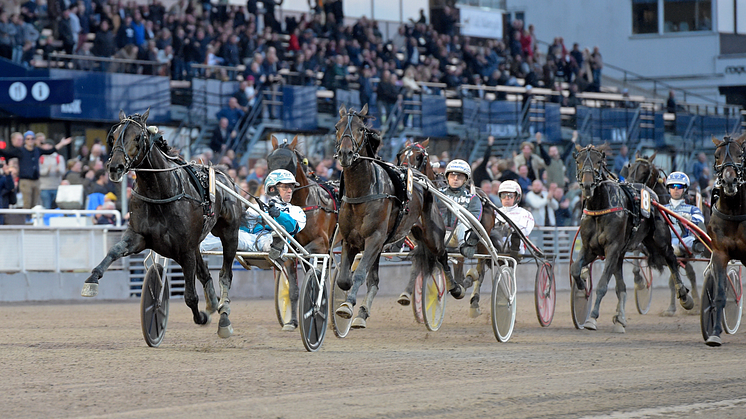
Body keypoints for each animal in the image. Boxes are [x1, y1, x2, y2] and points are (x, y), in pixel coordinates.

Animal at [81, 110, 244, 340]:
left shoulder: (184, 249)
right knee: (204, 273)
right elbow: (114, 250)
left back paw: (224, 318)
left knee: (225, 274)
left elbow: (190, 296)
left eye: (138, 137)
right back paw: (213, 304)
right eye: (113, 137)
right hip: (197, 242)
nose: (115, 167)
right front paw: (92, 279)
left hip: (229, 233)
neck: (160, 191)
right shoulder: (139, 237)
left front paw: (202, 317)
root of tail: (224, 175)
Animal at [334, 103, 462, 330]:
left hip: (431, 234)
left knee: (442, 256)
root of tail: (423, 182)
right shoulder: (350, 240)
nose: (345, 153)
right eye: (336, 127)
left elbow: (360, 274)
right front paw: (351, 306)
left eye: (361, 128)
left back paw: (454, 288)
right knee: (377, 279)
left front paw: (347, 306)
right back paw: (363, 313)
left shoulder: (374, 239)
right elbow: (345, 280)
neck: (363, 191)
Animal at [392, 139, 496, 318]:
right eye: (401, 154)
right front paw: (407, 293)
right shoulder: (420, 239)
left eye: (418, 156)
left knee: (480, 268)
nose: (405, 172)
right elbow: (417, 264)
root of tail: (484, 195)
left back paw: (473, 298)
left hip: (481, 241)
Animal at [568, 146, 692, 334]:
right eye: (578, 161)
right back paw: (620, 319)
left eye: (599, 161)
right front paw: (582, 285)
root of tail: (651, 194)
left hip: (659, 240)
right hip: (623, 252)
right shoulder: (590, 249)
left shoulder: (612, 249)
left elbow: (602, 284)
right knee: (622, 286)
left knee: (671, 259)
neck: (600, 206)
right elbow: (575, 268)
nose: (587, 185)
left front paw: (592, 318)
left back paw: (685, 297)